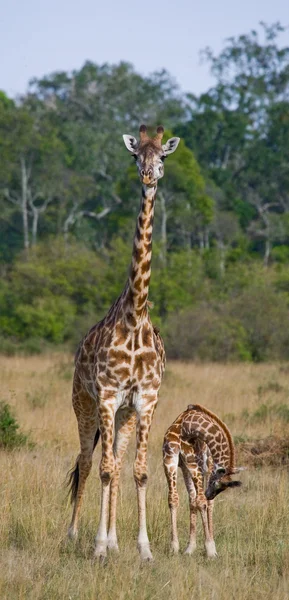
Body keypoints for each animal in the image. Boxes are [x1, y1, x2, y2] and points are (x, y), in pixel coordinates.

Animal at [68, 124, 179, 560]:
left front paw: (143, 549)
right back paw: (76, 536)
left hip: (123, 415)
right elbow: (102, 469)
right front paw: (99, 547)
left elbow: (139, 472)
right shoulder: (107, 395)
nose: (148, 177)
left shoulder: (144, 400)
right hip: (84, 404)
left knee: (115, 461)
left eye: (162, 157)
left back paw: (115, 541)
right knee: (87, 461)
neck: (135, 317)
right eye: (135, 156)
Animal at [163, 404, 242, 556]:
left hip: (188, 465)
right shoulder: (187, 463)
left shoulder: (188, 465)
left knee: (193, 501)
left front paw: (201, 548)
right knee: (197, 500)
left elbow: (197, 501)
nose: (209, 494)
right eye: (218, 486)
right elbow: (195, 501)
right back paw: (198, 548)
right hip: (192, 466)